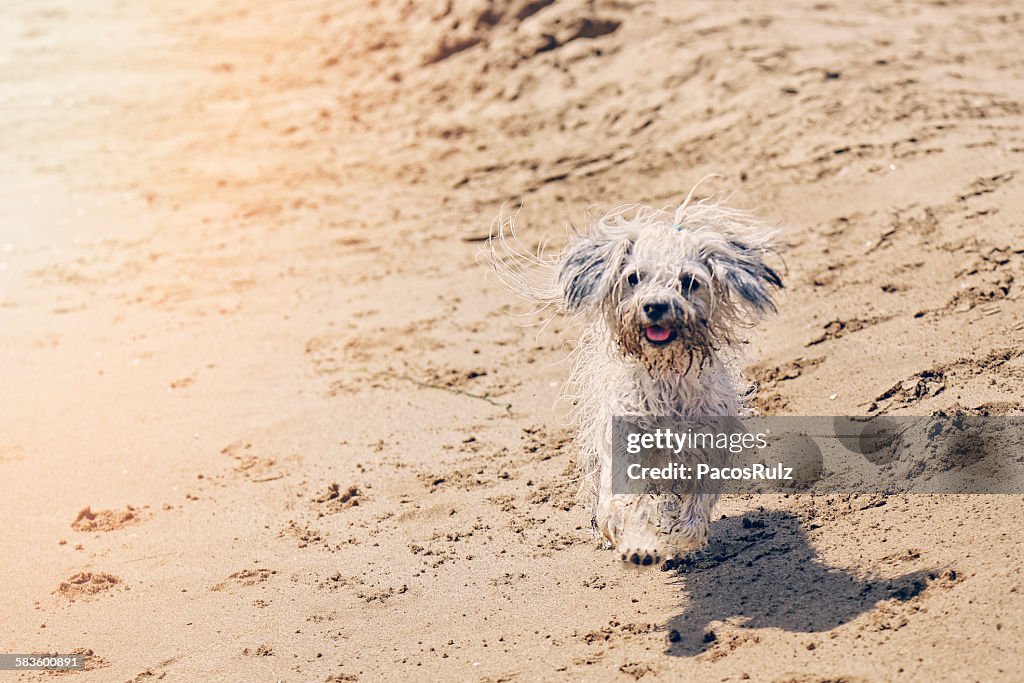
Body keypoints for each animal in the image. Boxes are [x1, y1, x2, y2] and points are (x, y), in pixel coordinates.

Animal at [487, 188, 782, 565]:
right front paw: (639, 540)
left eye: (689, 282)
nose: (654, 306)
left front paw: (681, 539)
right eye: (633, 277)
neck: (666, 376)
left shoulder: (704, 448)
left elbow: (693, 508)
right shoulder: (623, 444)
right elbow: (626, 504)